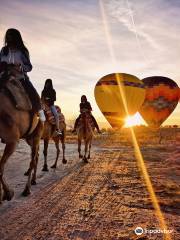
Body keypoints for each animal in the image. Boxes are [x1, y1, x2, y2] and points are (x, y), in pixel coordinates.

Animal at [0, 65, 43, 202]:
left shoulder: (12, 140)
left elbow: (0, 167)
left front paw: (8, 193)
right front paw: (6, 194)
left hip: (37, 134)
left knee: (33, 159)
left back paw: (27, 190)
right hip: (29, 137)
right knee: (36, 155)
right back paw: (33, 181)